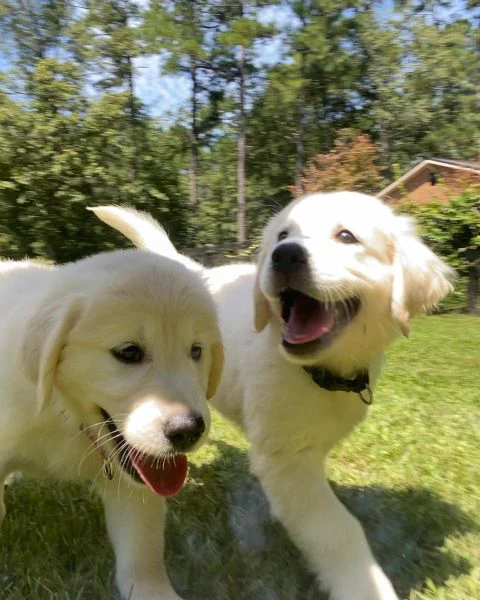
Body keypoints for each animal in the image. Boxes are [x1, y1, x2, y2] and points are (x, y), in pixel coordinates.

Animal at [0, 231, 223, 600]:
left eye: (196, 351)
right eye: (128, 352)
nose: (188, 431)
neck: (67, 415)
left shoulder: (136, 486)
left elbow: (141, 556)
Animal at [93, 196, 454, 600]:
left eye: (346, 236)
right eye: (283, 235)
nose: (285, 255)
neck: (318, 372)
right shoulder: (287, 461)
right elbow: (338, 529)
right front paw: (365, 586)